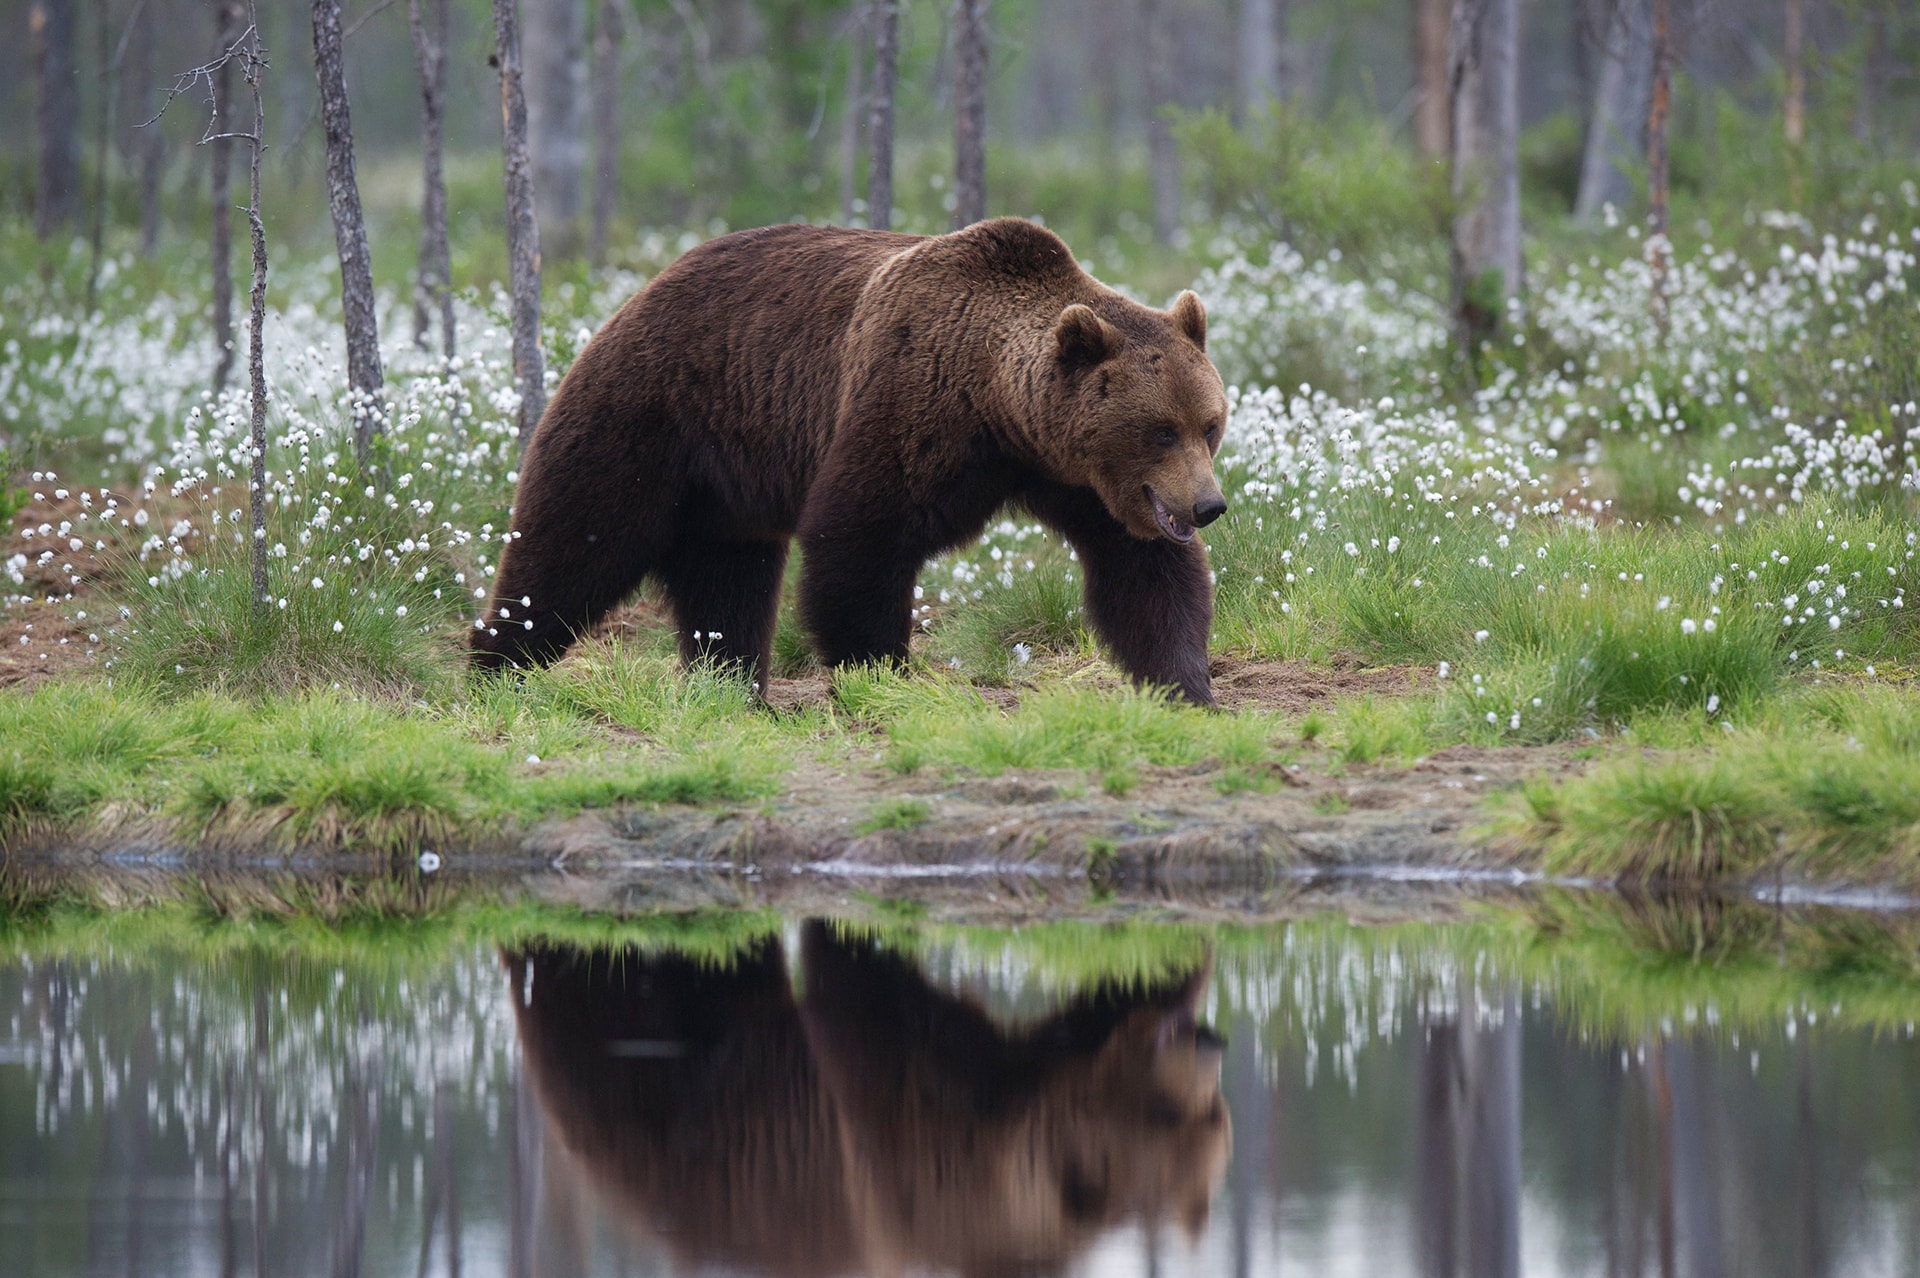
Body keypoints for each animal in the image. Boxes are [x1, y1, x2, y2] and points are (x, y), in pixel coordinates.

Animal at [472, 214, 1236, 702]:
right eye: (1160, 429)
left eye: (1209, 424)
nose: (1208, 505)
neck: (997, 408)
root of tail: (629, 298)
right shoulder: (909, 403)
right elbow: (860, 537)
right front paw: (880, 668)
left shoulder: (1080, 479)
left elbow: (1144, 570)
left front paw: (1187, 683)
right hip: (645, 420)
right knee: (572, 545)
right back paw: (497, 665)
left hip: (726, 491)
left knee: (727, 582)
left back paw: (733, 685)